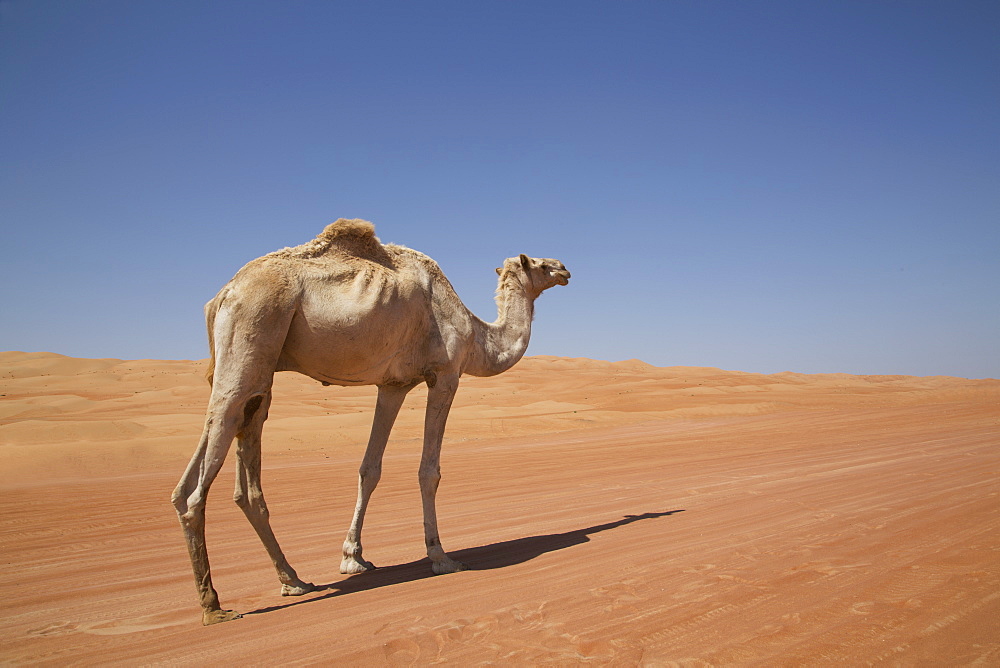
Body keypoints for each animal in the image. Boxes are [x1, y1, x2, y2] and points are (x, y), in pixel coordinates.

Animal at [172, 220, 572, 628]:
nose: (565, 269)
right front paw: (440, 557)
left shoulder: (393, 385)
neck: (476, 335)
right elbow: (429, 471)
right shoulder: (445, 375)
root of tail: (222, 295)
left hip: (253, 373)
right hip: (251, 336)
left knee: (218, 471)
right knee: (200, 480)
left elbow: (370, 468)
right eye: (539, 264)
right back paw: (214, 606)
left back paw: (293, 580)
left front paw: (353, 557)